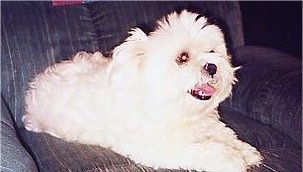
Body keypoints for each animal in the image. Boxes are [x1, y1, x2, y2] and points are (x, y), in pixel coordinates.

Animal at [22, 10, 264, 172]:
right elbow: (204, 149)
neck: (180, 113)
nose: (212, 66)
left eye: (212, 51)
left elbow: (226, 134)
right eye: (183, 57)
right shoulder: (160, 146)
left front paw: (244, 151)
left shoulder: (209, 125)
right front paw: (231, 159)